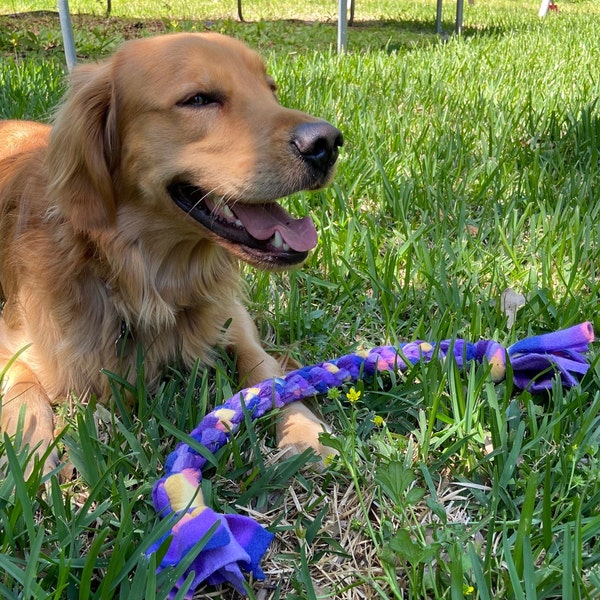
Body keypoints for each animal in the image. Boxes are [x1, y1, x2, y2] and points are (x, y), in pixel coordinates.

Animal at [0, 32, 342, 474]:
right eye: (198, 99)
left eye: (270, 89)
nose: (327, 143)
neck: (144, 277)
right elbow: (24, 391)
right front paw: (32, 458)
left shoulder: (232, 316)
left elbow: (264, 368)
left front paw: (305, 429)